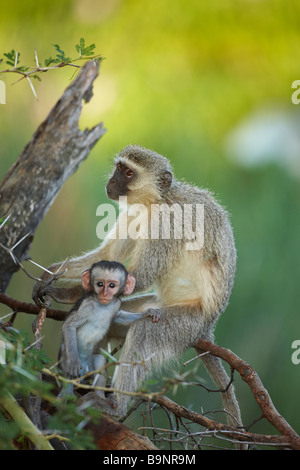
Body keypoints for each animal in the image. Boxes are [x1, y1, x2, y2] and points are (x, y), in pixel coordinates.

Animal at [59, 258, 161, 398]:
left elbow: (117, 316)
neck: (102, 306)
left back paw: (99, 396)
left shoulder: (116, 303)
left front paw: (148, 313)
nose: (104, 293)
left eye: (112, 285)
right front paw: (74, 363)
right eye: (100, 284)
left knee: (100, 360)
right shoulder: (87, 306)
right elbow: (69, 326)